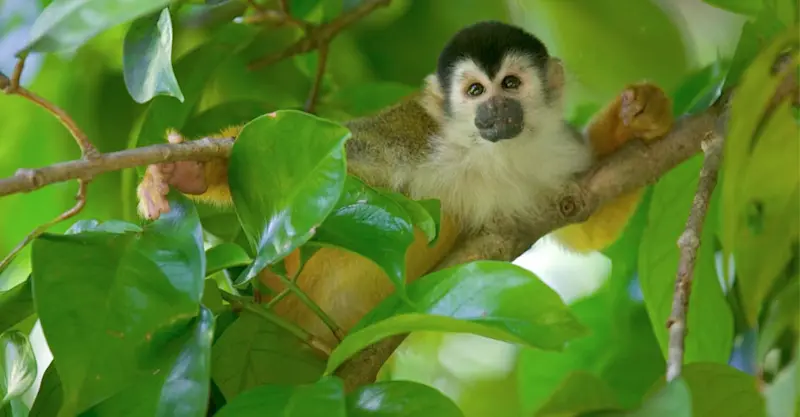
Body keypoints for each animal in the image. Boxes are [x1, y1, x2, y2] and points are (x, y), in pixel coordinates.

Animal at [136, 20, 673, 348]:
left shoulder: (551, 156)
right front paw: (187, 172)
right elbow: (324, 153)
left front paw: (637, 118)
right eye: (475, 90)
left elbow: (585, 220)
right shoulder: (411, 135)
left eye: (511, 84)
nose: (495, 110)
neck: (489, 155)